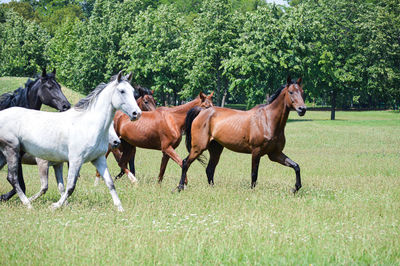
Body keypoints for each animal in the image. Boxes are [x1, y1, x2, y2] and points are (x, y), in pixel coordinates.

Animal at [178, 77, 306, 193]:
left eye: (302, 92)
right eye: (291, 92)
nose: (302, 109)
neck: (267, 121)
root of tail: (202, 111)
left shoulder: (275, 154)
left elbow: (296, 166)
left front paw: (295, 188)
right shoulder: (256, 152)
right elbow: (254, 174)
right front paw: (252, 192)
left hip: (216, 149)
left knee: (209, 169)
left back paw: (212, 189)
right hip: (198, 148)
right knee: (185, 163)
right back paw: (180, 188)